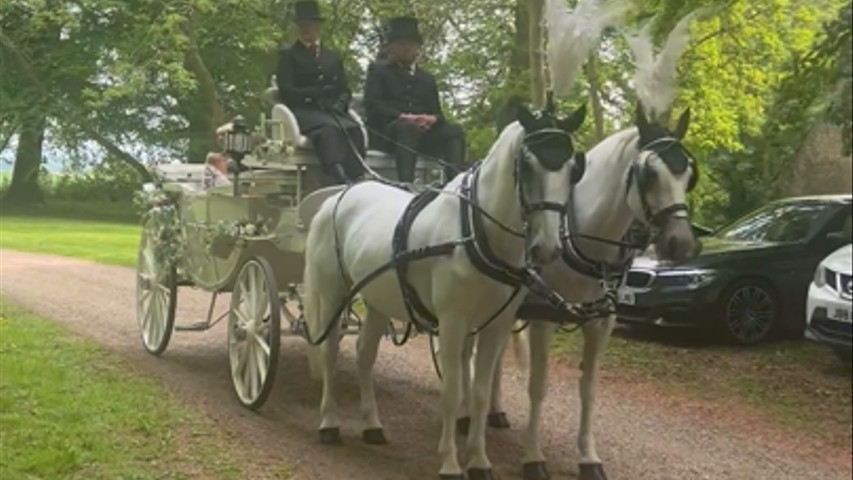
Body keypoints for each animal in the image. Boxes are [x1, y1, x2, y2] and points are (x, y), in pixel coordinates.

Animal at [302, 103, 588, 478]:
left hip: (377, 300)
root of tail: (338, 196)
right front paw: (450, 462)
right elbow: (452, 391)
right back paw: (329, 423)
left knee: (365, 355)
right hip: (334, 294)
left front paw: (480, 460)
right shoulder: (452, 323)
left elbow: (479, 393)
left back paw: (372, 425)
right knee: (330, 352)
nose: (547, 249)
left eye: (573, 169)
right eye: (526, 165)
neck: (475, 232)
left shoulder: (495, 327)